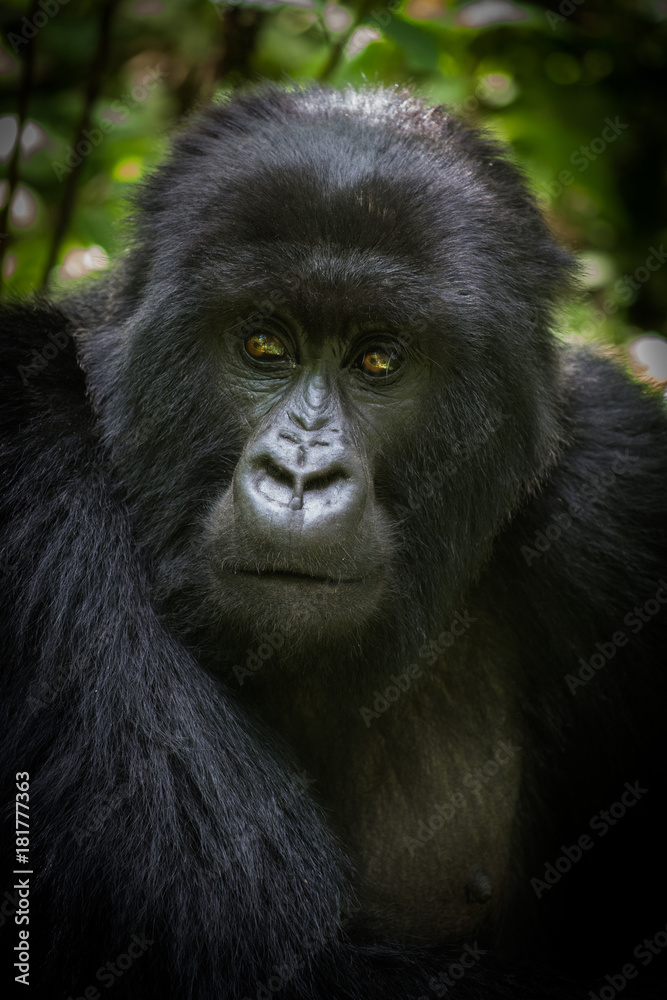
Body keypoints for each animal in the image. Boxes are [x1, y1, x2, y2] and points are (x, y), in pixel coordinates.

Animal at [1, 86, 667, 1000]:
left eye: (379, 359)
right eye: (262, 345)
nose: (299, 476)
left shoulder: (623, 492)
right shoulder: (28, 449)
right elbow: (286, 952)